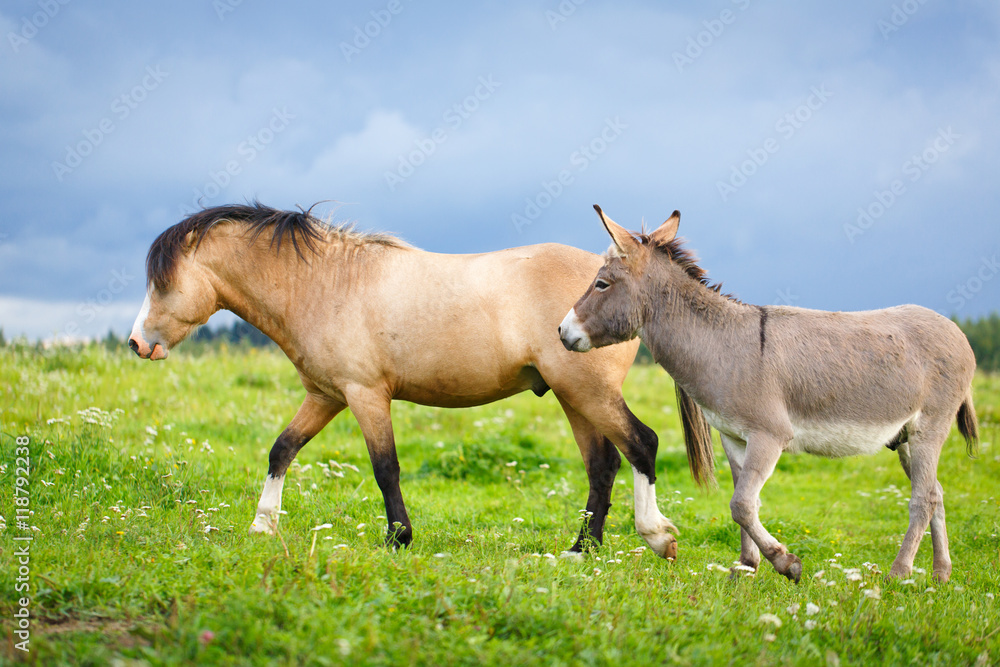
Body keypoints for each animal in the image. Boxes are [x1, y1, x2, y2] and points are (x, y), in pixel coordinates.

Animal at [128, 202, 709, 558]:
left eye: (163, 282)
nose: (137, 343)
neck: (326, 283)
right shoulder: (326, 396)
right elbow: (281, 450)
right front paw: (262, 525)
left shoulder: (365, 395)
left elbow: (385, 468)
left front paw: (398, 538)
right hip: (574, 397)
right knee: (602, 465)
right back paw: (580, 548)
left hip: (587, 392)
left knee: (641, 444)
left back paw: (656, 536)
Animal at [558, 205, 979, 583]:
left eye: (601, 284)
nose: (561, 332)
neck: (721, 345)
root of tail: (955, 330)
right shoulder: (733, 437)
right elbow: (745, 499)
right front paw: (746, 566)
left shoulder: (770, 435)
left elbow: (741, 504)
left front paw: (785, 562)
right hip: (904, 437)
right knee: (937, 492)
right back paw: (941, 574)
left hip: (929, 429)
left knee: (923, 499)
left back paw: (899, 573)